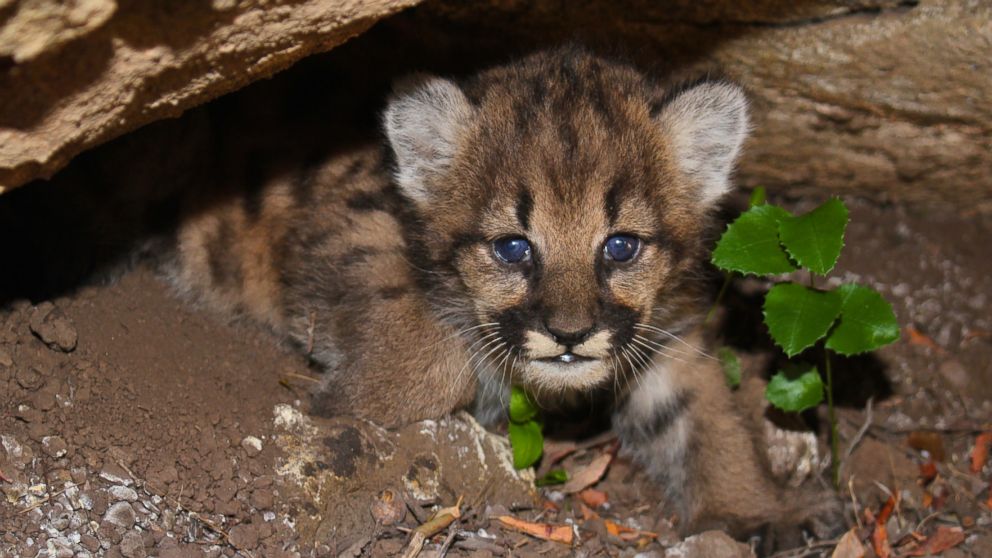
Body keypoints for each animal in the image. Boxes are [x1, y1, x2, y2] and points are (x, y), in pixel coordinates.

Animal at [167, 48, 840, 548]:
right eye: (513, 248)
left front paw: (750, 508)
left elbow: (710, 415)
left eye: (621, 247)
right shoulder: (352, 218)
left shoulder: (668, 334)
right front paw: (345, 403)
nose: (570, 333)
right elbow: (429, 353)